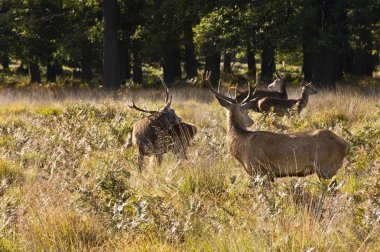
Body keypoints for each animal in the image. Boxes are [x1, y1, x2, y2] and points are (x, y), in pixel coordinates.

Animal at [206, 72, 348, 184]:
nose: (251, 122)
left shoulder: (261, 170)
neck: (239, 142)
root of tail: (346, 144)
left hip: (326, 167)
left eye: (245, 110)